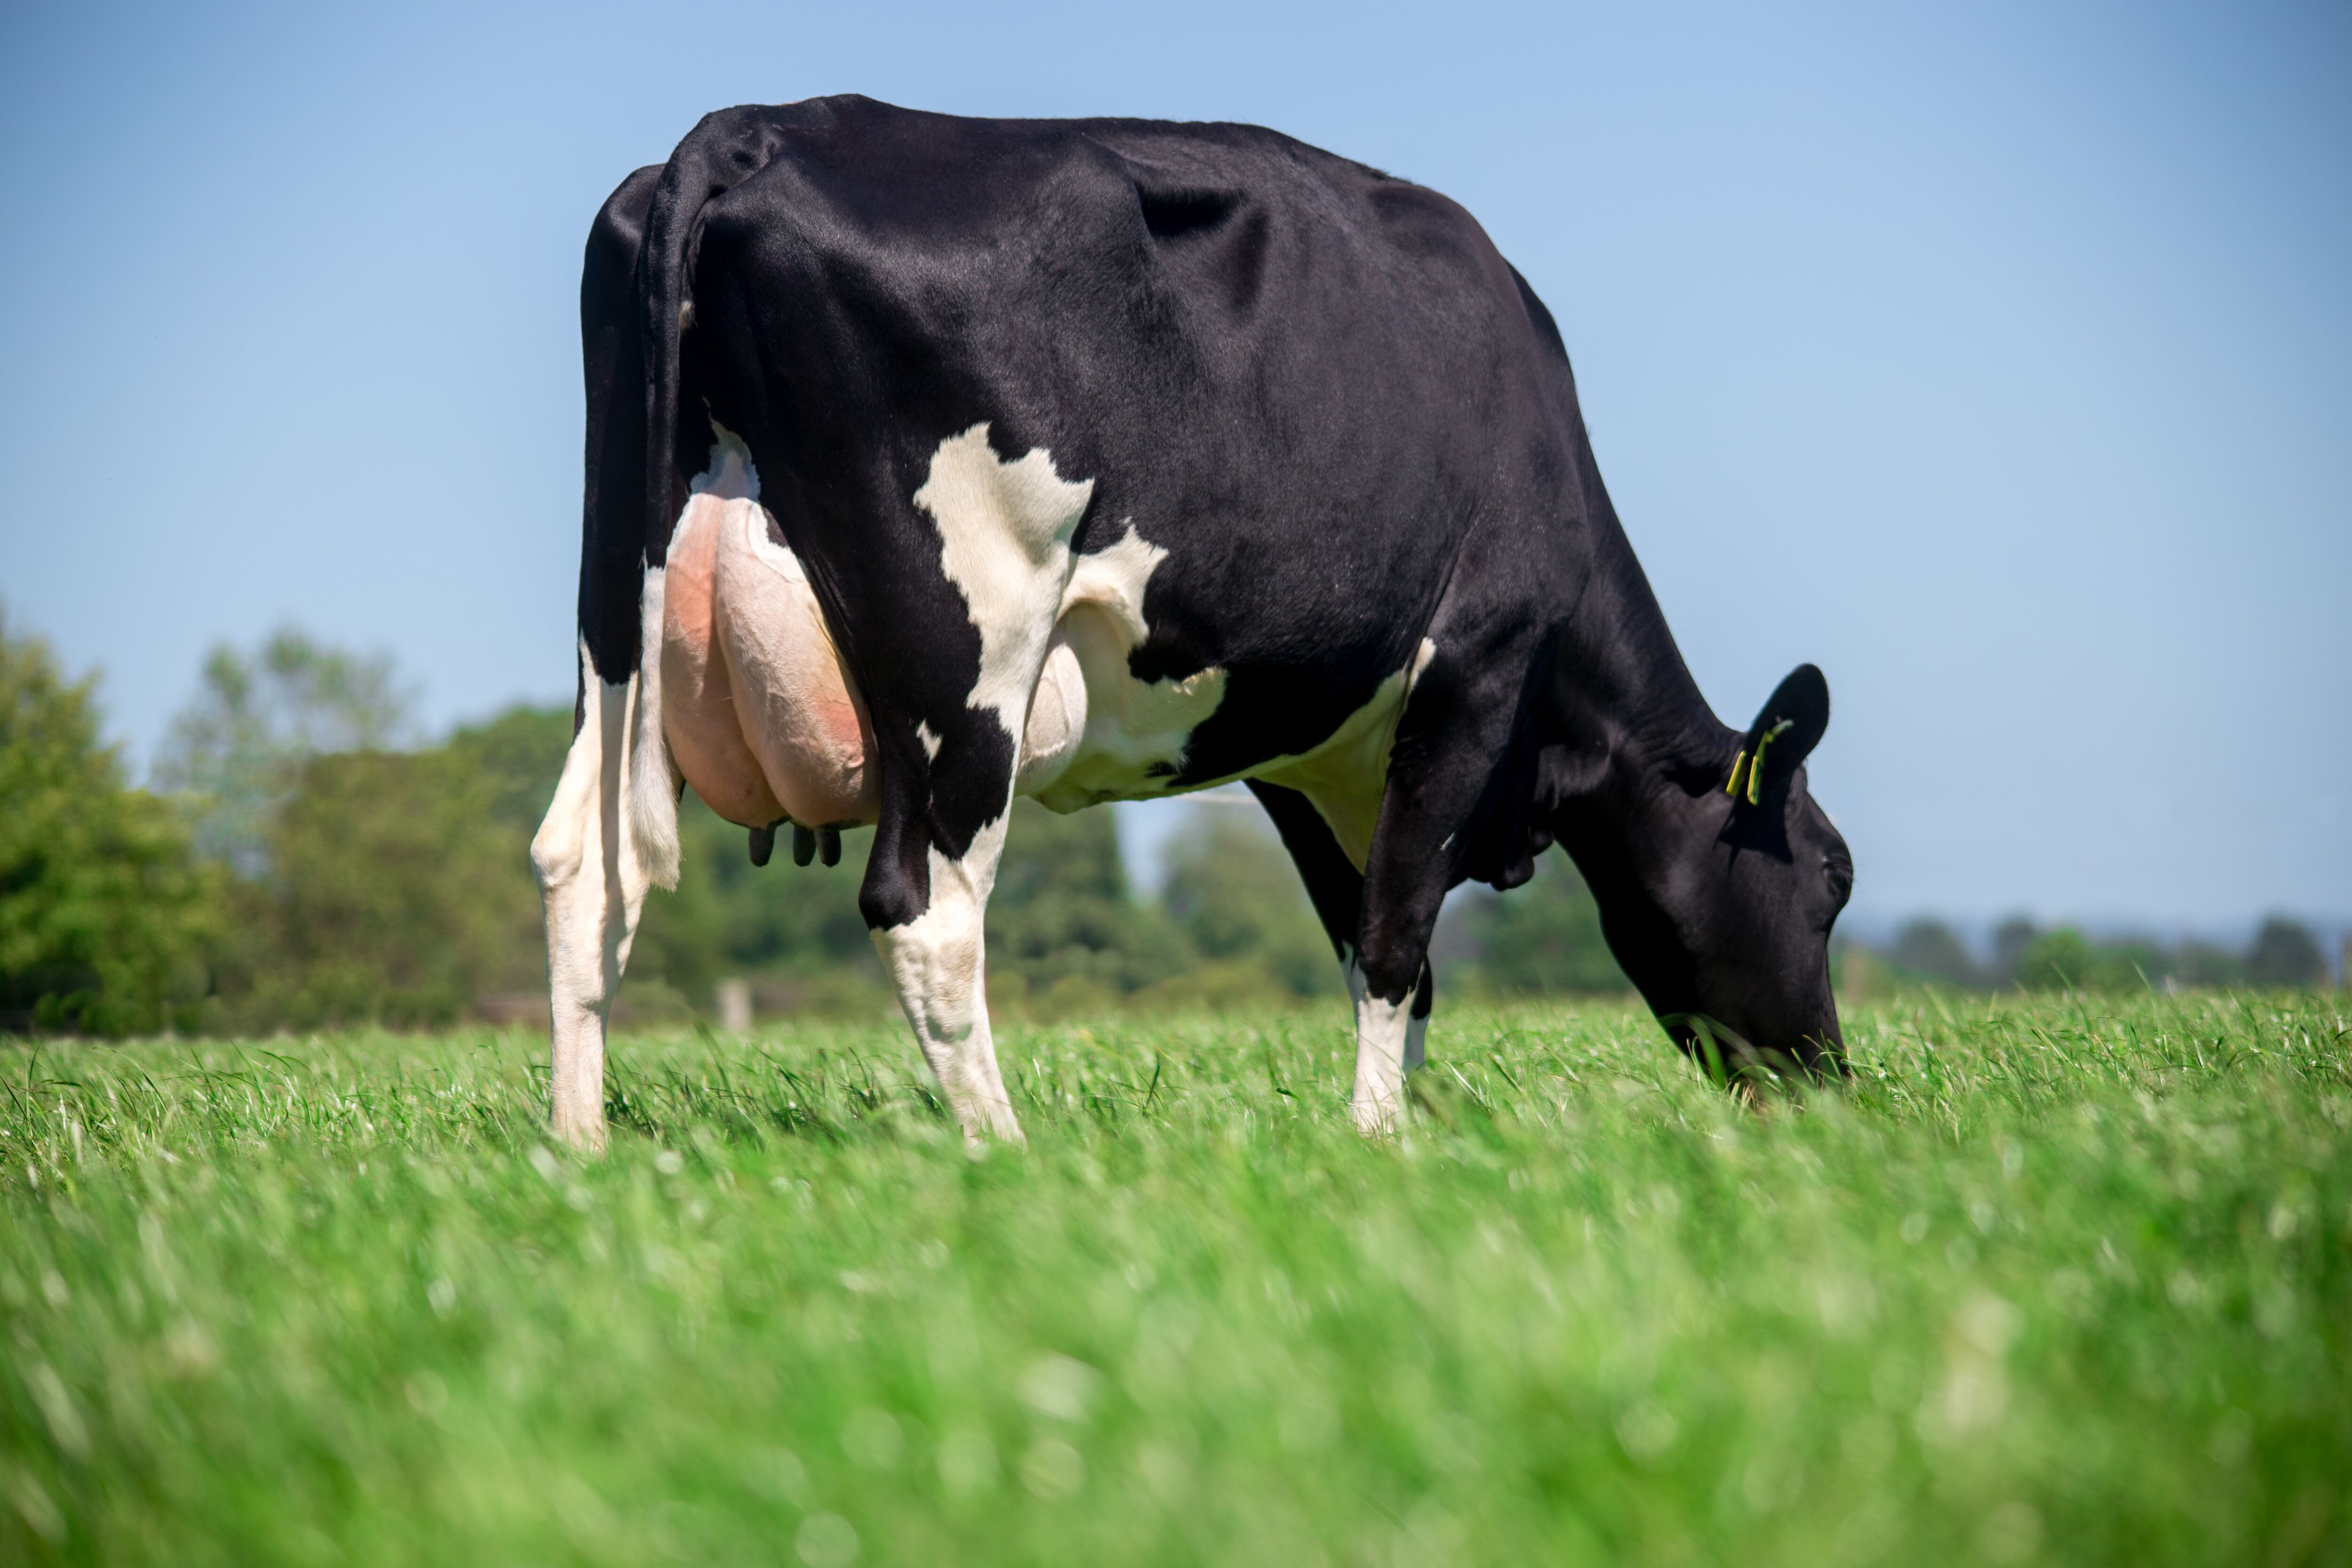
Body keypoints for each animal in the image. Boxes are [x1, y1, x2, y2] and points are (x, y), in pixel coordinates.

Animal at [530, 96, 1854, 1151]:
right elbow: (1395, 939)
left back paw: (582, 1149)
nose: (1836, 1087)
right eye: (1832, 877)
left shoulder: (1303, 746)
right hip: (970, 654)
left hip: (614, 620)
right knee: (924, 906)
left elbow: (1381, 945)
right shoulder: (1474, 667)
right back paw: (1006, 1150)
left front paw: (1402, 1124)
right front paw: (1381, 1144)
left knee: (585, 871)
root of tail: (760, 127)